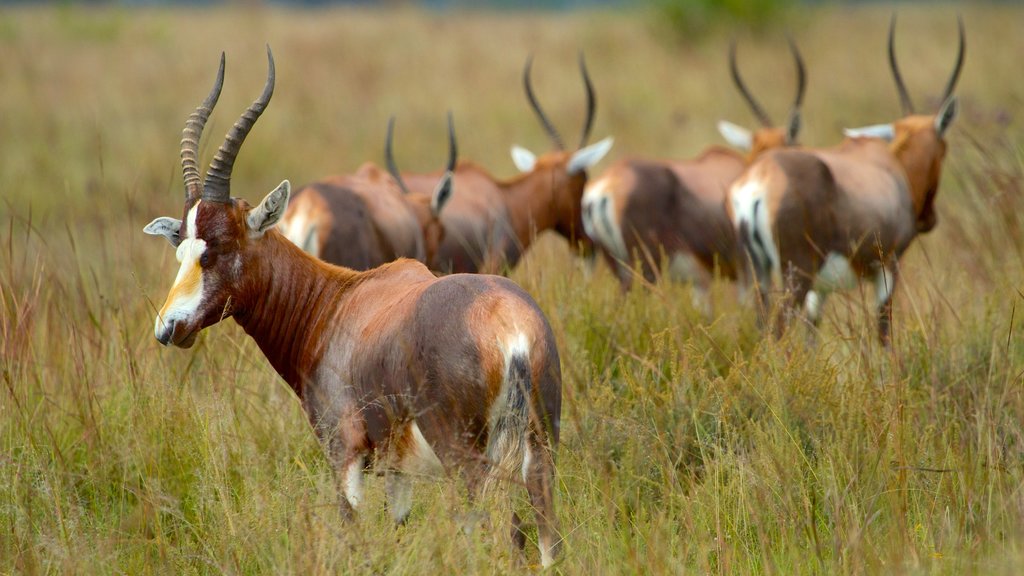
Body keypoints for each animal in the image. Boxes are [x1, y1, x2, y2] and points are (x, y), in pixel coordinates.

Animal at [733, 16, 962, 340]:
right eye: (944, 149)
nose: (929, 219)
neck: (891, 168)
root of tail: (761, 179)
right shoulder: (889, 268)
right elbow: (883, 331)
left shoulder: (821, 291)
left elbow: (811, 334)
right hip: (796, 276)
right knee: (778, 329)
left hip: (761, 275)